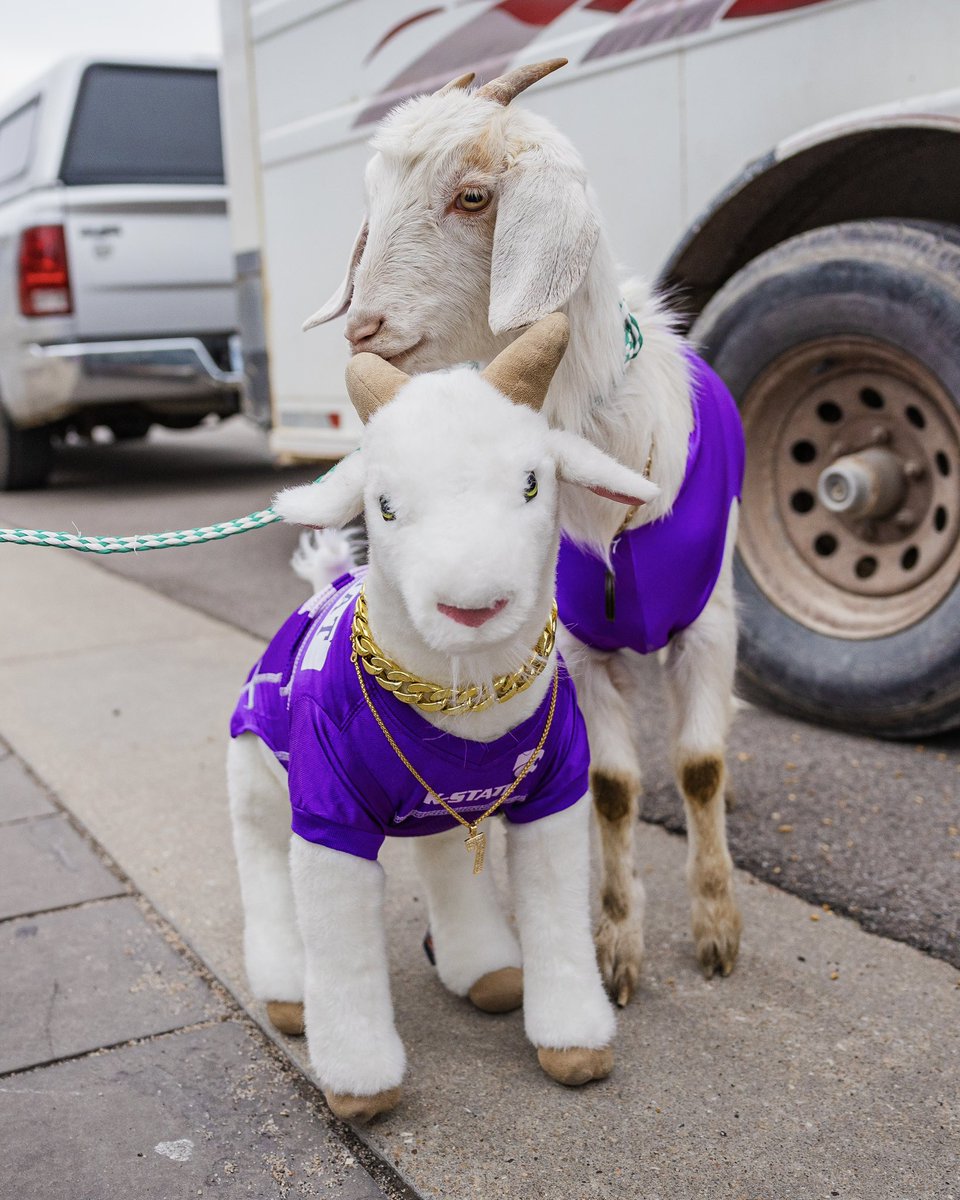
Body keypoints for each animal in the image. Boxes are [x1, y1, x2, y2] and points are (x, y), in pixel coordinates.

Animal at [225, 314, 662, 1118]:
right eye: (386, 507)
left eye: (531, 484)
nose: (472, 606)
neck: (465, 698)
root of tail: (325, 582)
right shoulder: (328, 814)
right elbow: (341, 945)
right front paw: (360, 1084)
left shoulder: (556, 794)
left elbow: (556, 914)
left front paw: (574, 1043)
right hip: (256, 774)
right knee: (265, 862)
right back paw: (287, 991)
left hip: (437, 812)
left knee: (447, 862)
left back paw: (487, 971)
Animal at [303, 58, 744, 1003]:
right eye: (373, 201)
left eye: (473, 196)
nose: (363, 330)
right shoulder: (580, 638)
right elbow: (612, 786)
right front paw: (616, 945)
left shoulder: (708, 622)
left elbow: (700, 767)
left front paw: (718, 928)